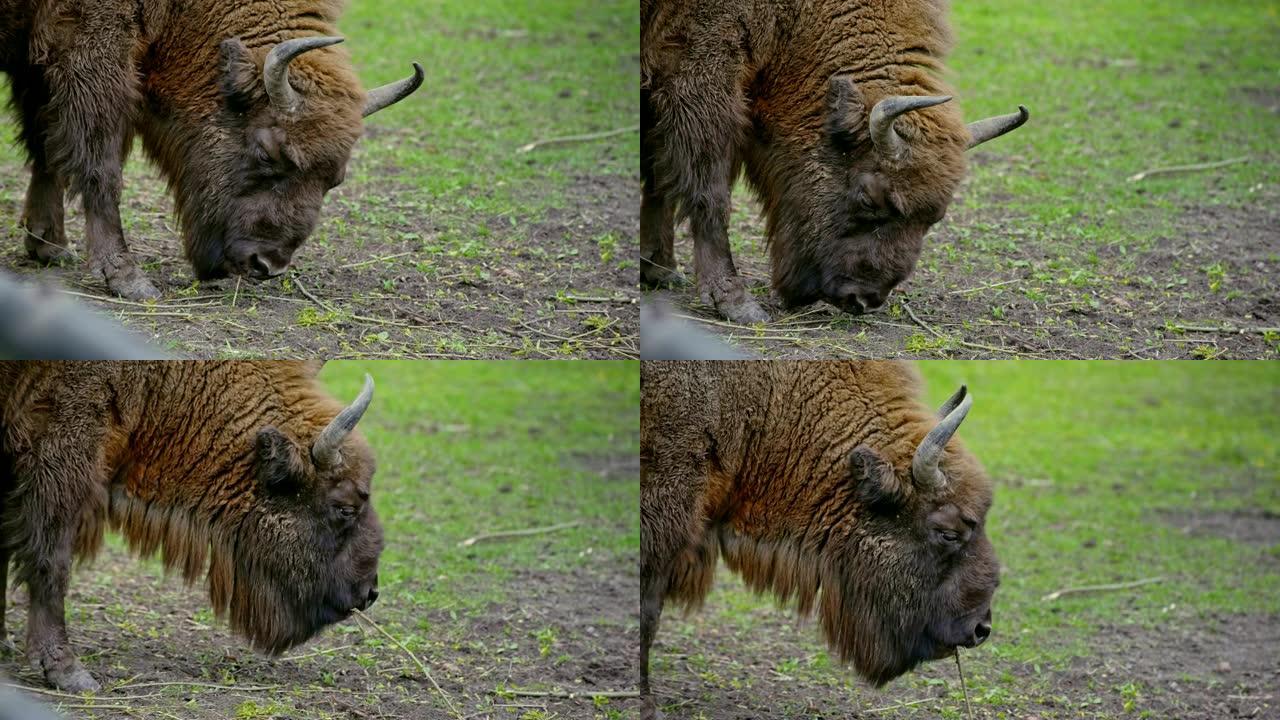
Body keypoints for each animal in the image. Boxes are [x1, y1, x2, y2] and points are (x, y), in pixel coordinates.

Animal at [0, 361, 378, 691]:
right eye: (345, 508)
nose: (369, 591)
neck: (160, 383)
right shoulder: (62, 451)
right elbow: (53, 562)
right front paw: (68, 673)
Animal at [2, 0, 427, 297]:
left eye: (335, 180)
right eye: (268, 154)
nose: (266, 264)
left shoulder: (36, 64)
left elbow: (46, 152)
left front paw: (49, 247)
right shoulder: (92, 58)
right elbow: (100, 167)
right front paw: (128, 279)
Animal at [640, 0, 1029, 322]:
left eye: (936, 217)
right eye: (869, 199)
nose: (864, 299)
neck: (798, 18)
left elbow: (657, 178)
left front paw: (658, 270)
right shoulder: (699, 75)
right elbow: (710, 192)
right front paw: (736, 303)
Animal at [640, 361, 998, 712]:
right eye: (948, 533)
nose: (981, 628)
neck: (769, 406)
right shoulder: (663, 513)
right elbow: (649, 610)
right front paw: (646, 702)